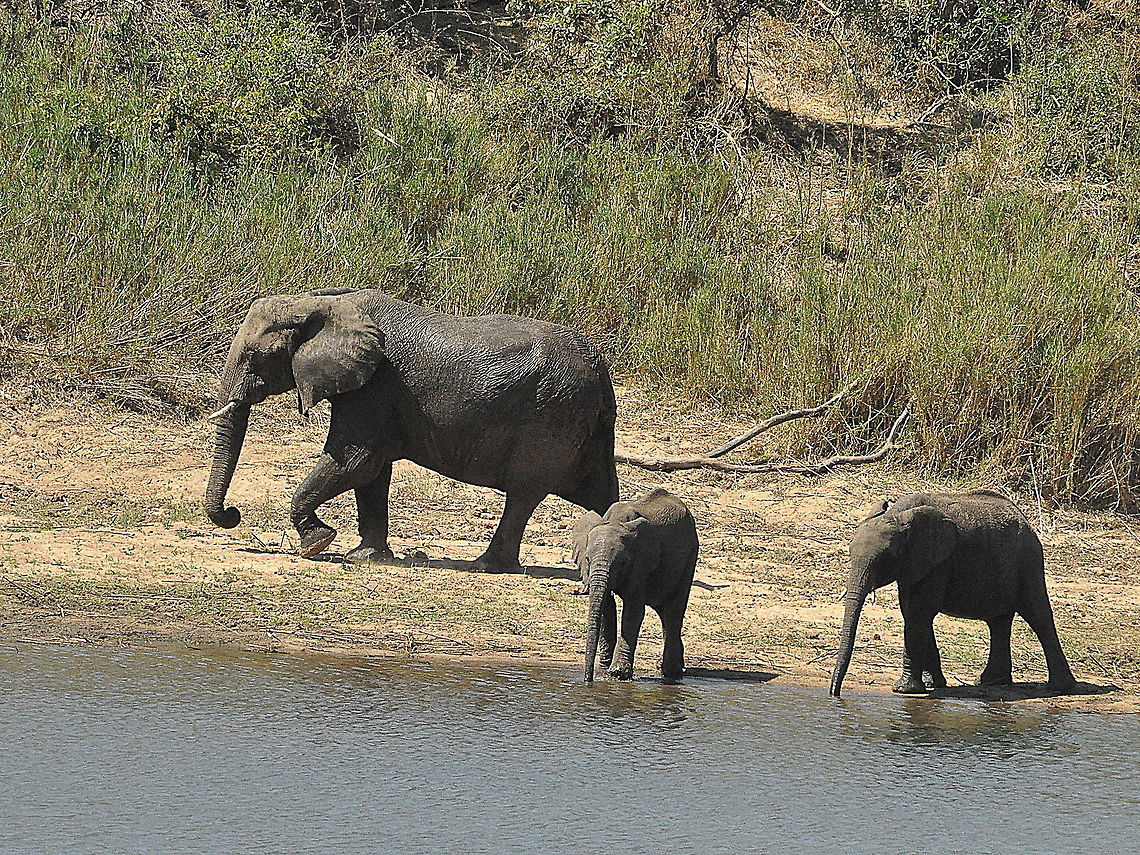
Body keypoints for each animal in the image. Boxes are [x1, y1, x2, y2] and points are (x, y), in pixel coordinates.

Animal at [204, 288, 619, 572]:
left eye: (254, 357)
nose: (233, 514)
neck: (321, 303)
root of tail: (598, 363)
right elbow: (372, 473)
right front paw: (366, 557)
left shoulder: (374, 387)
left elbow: (355, 462)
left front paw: (316, 544)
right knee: (599, 491)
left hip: (551, 414)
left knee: (522, 493)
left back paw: (486, 566)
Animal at [574, 489, 699, 684]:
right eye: (587, 559)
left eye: (623, 562)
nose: (588, 680)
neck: (617, 521)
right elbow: (606, 608)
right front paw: (603, 673)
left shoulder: (641, 564)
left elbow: (633, 612)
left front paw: (618, 673)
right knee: (664, 613)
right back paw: (676, 669)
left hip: (690, 558)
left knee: (674, 612)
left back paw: (670, 673)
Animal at [830, 490, 1077, 697]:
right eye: (850, 552)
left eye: (885, 557)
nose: (835, 693)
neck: (898, 514)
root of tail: (1026, 520)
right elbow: (913, 613)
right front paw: (933, 685)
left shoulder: (938, 561)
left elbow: (918, 614)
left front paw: (904, 690)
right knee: (998, 622)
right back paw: (991, 682)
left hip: (1028, 561)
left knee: (1038, 616)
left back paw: (1059, 687)